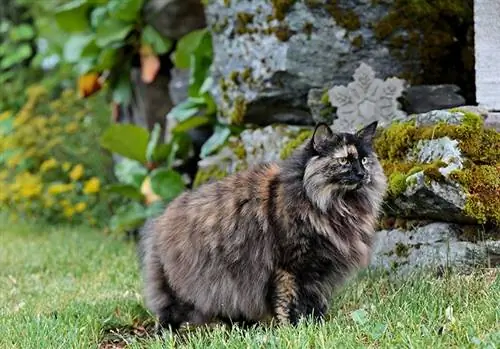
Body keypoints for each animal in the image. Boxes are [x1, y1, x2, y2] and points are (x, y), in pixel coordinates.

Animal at [139, 121, 388, 330]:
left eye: (364, 160)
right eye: (344, 160)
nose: (362, 173)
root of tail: (160, 218)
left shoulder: (318, 272)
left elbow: (315, 303)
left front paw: (316, 325)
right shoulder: (289, 267)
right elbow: (289, 304)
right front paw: (295, 330)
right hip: (181, 290)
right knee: (167, 314)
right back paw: (167, 335)